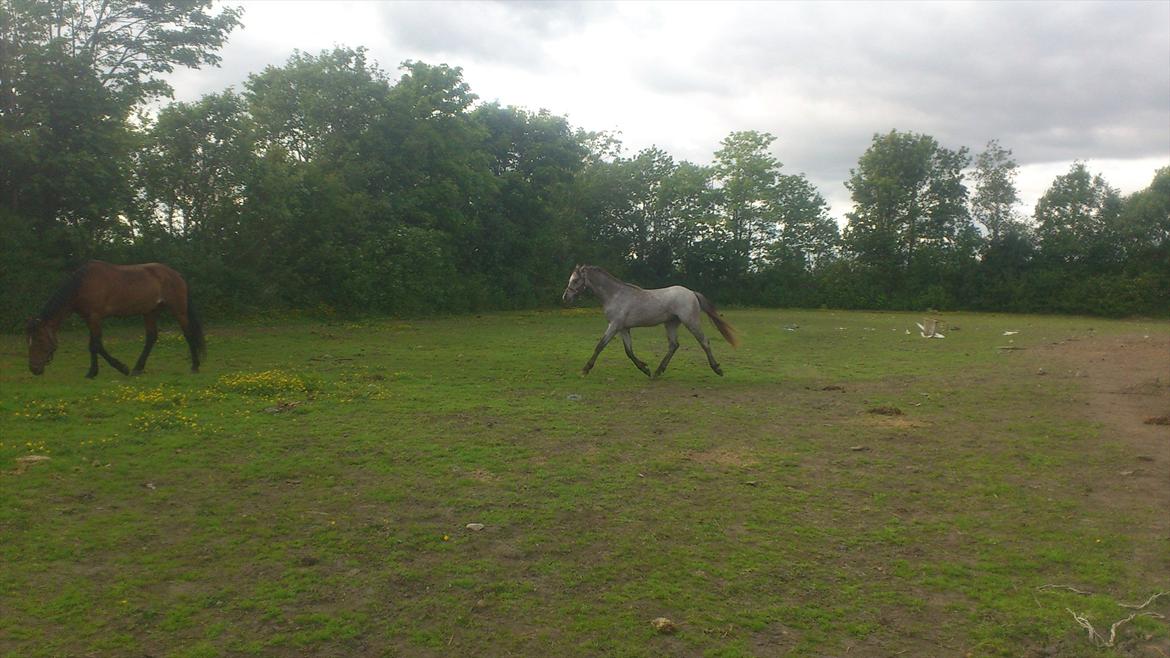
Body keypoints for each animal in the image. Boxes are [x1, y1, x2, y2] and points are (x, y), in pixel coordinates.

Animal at [26, 261, 206, 378]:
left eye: (39, 340)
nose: (34, 369)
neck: (82, 284)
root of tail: (176, 274)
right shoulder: (90, 319)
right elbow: (92, 346)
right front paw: (92, 372)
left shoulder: (95, 317)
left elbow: (97, 345)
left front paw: (121, 368)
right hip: (150, 312)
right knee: (151, 337)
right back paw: (138, 368)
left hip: (178, 310)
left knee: (188, 334)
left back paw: (195, 366)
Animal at [561, 265, 738, 378]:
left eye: (575, 280)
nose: (565, 298)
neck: (615, 295)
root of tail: (691, 293)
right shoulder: (623, 328)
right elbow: (629, 351)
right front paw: (645, 368)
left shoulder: (614, 325)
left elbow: (600, 346)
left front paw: (585, 370)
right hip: (671, 323)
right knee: (674, 345)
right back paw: (658, 371)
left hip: (690, 321)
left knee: (704, 342)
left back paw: (717, 369)